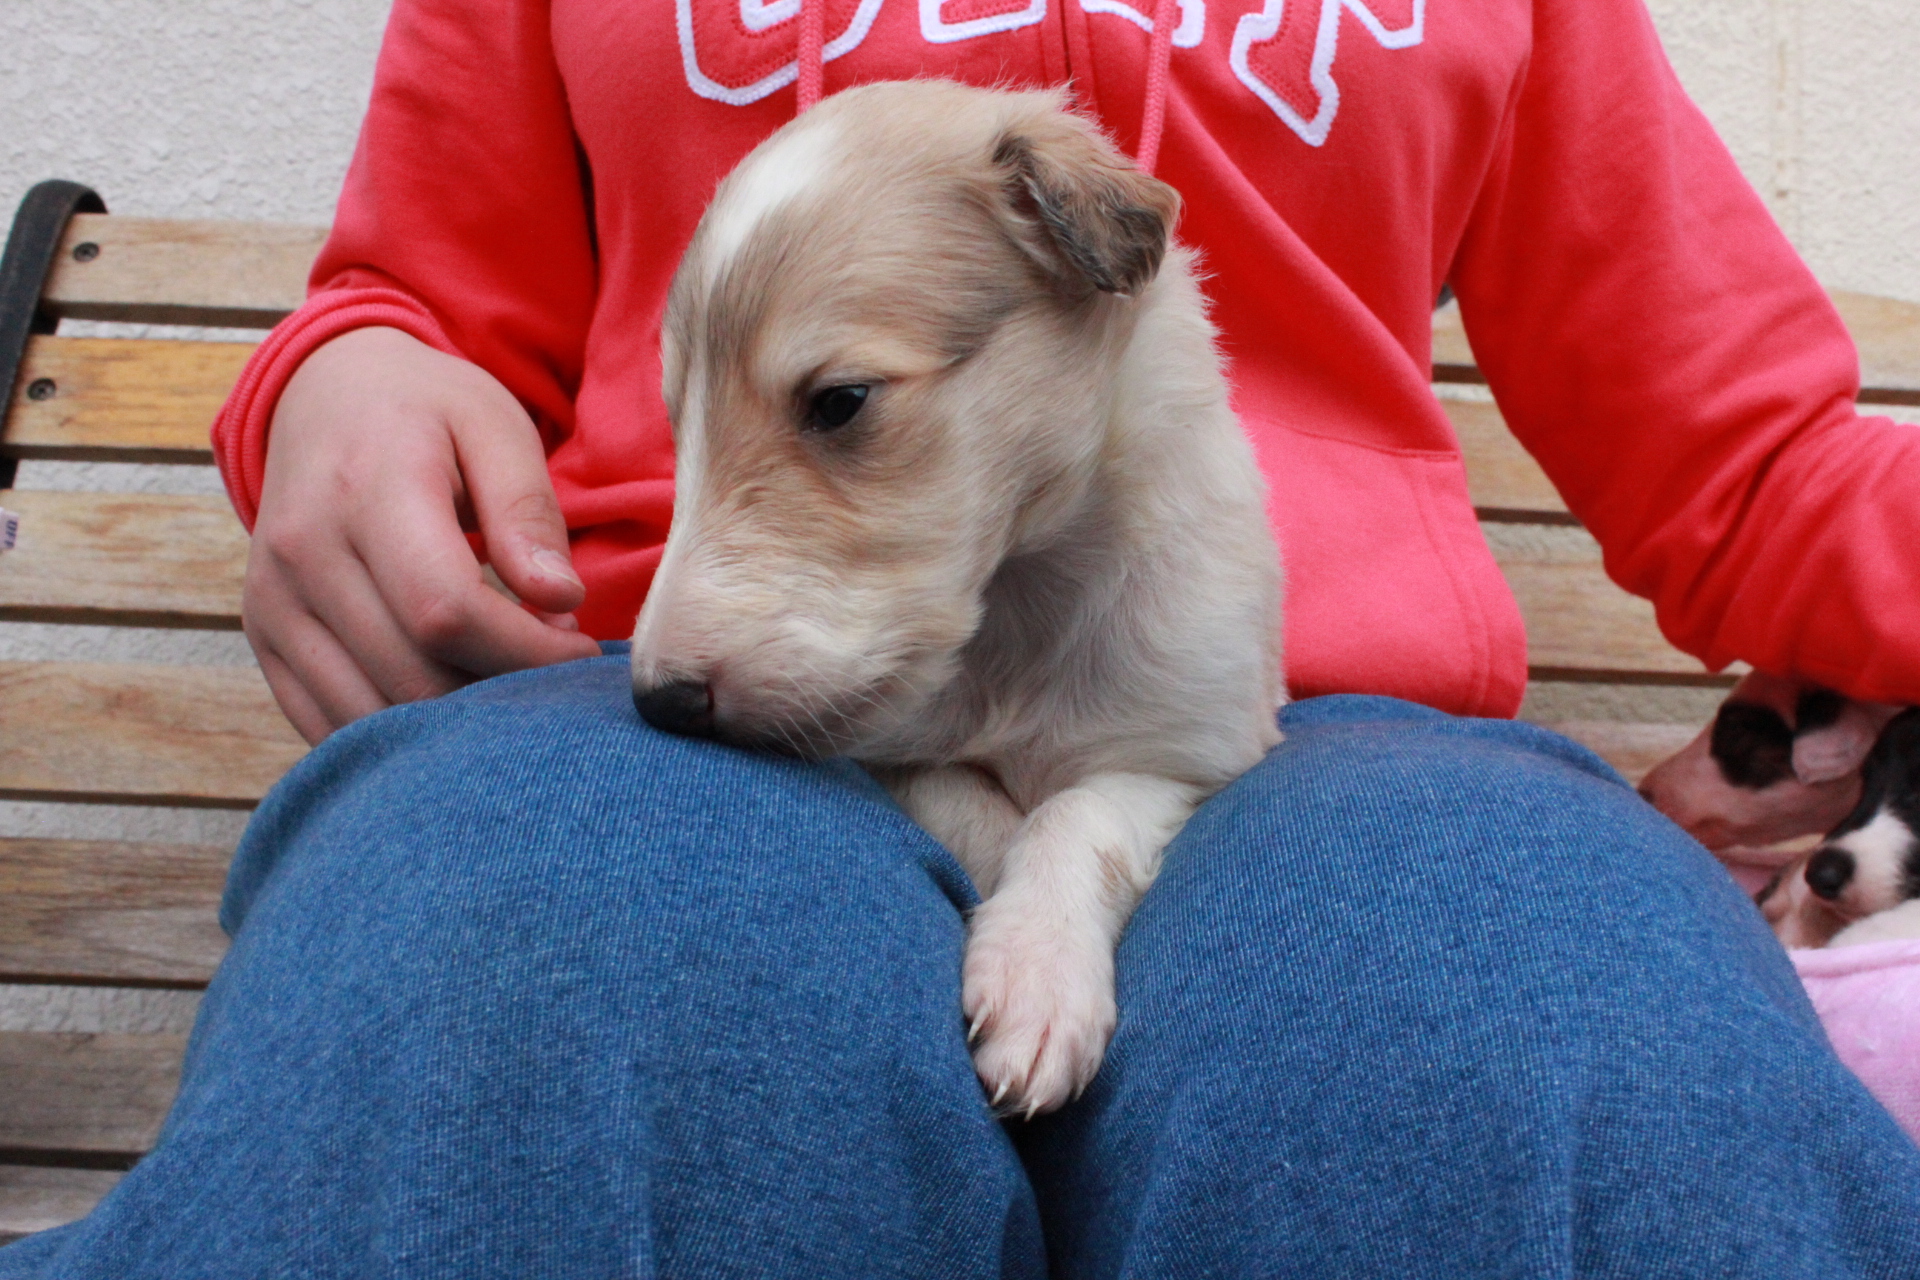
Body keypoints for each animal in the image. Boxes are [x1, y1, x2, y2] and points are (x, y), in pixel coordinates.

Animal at [628, 81, 1284, 1116]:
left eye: (842, 400)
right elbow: (976, 809)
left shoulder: (1181, 753)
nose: (661, 701)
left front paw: (1039, 975)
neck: (1020, 608)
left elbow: (1076, 820)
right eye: (677, 420)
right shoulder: (892, 746)